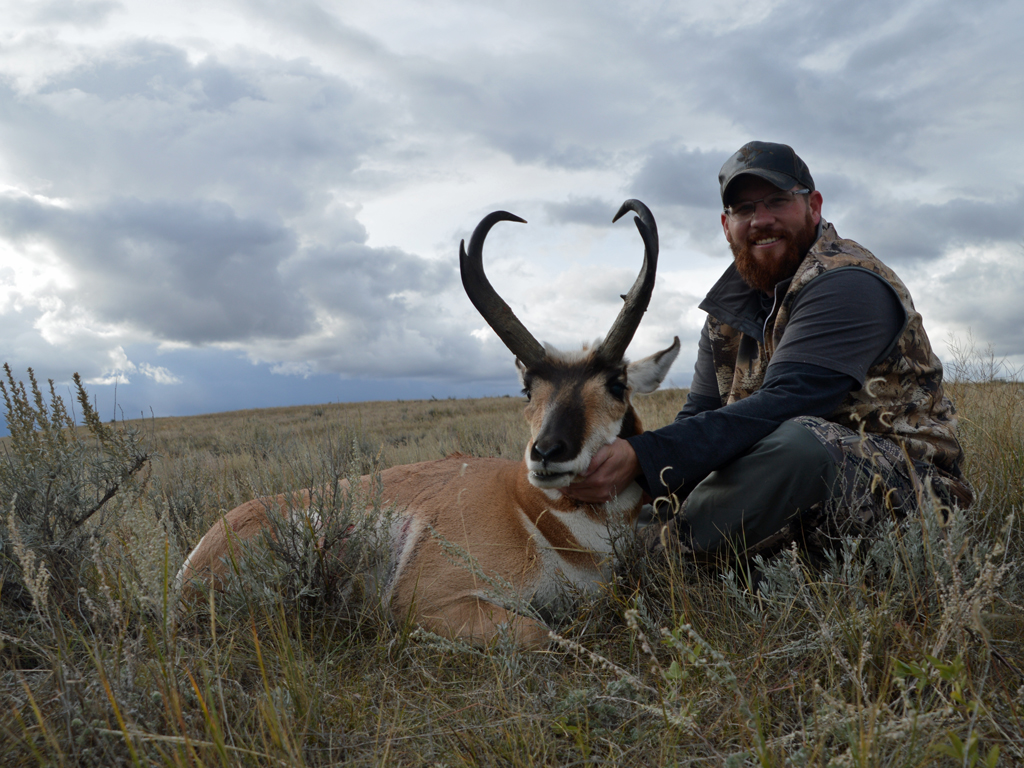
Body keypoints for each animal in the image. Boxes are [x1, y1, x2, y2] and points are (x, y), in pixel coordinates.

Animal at [178, 199, 679, 651]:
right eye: (526, 389)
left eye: (617, 384)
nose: (547, 452)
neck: (528, 507)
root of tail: (206, 546)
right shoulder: (428, 603)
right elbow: (544, 634)